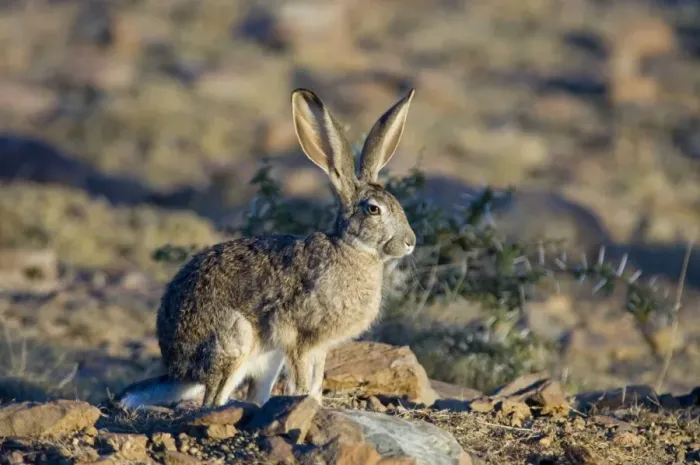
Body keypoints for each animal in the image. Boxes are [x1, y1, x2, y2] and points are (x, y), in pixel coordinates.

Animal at [117, 87, 417, 409]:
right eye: (373, 209)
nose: (411, 242)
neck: (353, 248)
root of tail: (178, 369)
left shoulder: (321, 346)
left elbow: (316, 380)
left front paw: (317, 404)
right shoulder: (298, 336)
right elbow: (302, 381)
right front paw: (306, 404)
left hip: (267, 360)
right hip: (235, 340)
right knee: (213, 400)